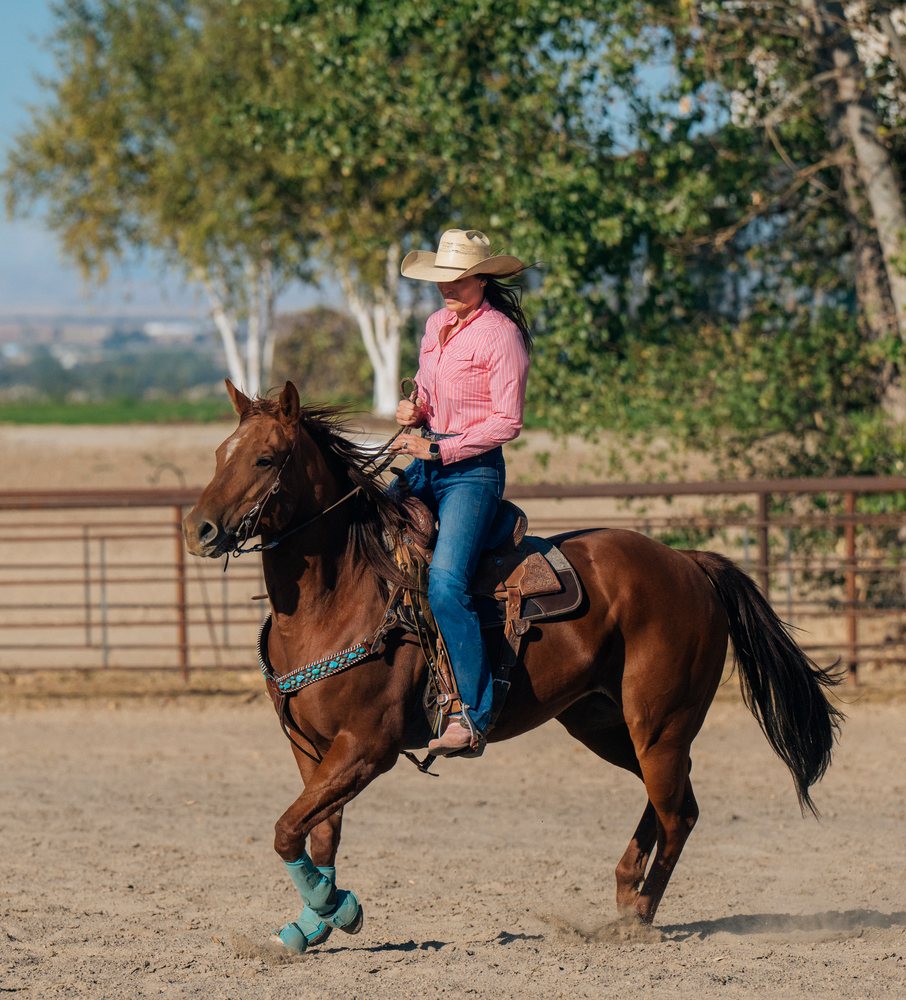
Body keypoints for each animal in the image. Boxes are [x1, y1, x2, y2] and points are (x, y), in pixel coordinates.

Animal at [183, 380, 842, 951]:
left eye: (266, 459)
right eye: (218, 454)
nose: (199, 529)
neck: (342, 594)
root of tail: (688, 562)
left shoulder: (368, 748)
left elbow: (286, 829)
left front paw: (335, 909)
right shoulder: (312, 750)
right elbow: (316, 833)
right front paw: (314, 919)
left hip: (659, 724)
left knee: (677, 812)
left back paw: (636, 918)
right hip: (606, 724)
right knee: (674, 802)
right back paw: (626, 891)